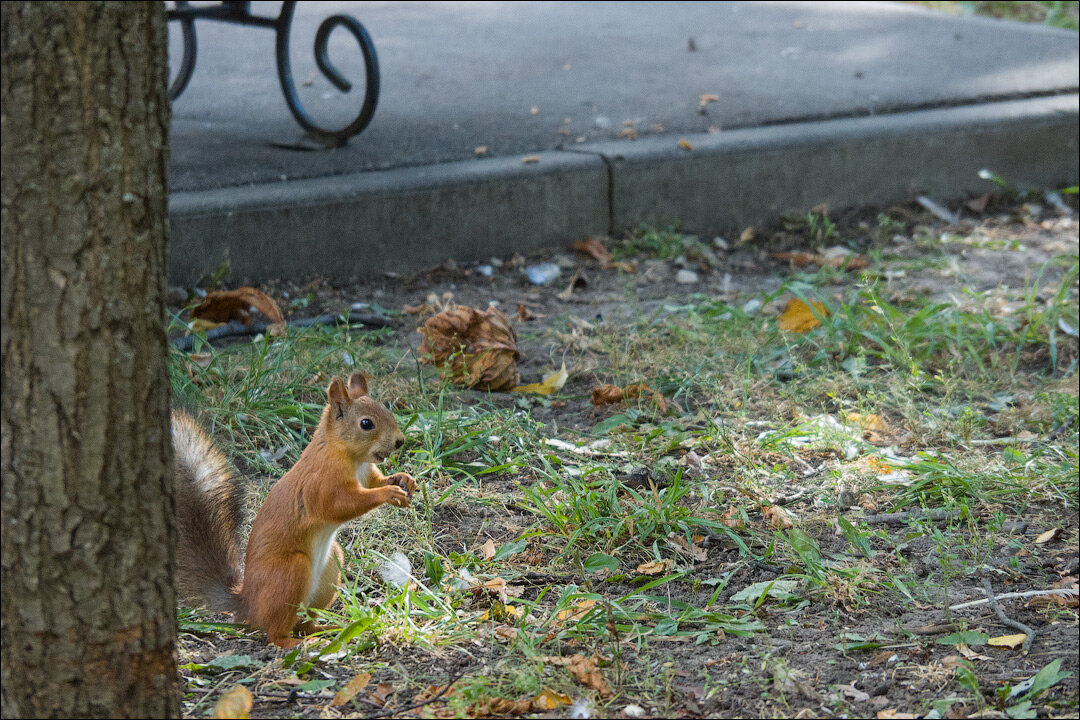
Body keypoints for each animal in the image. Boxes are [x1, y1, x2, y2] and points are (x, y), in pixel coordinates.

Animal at [172, 371, 416, 647]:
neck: (346, 454)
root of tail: (247, 604)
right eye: (366, 423)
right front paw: (389, 493)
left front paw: (404, 480)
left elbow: (377, 481)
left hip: (329, 570)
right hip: (291, 571)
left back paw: (328, 629)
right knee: (274, 632)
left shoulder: (367, 474)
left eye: (386, 410)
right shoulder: (322, 484)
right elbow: (340, 506)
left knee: (305, 622)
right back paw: (296, 643)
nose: (400, 441)